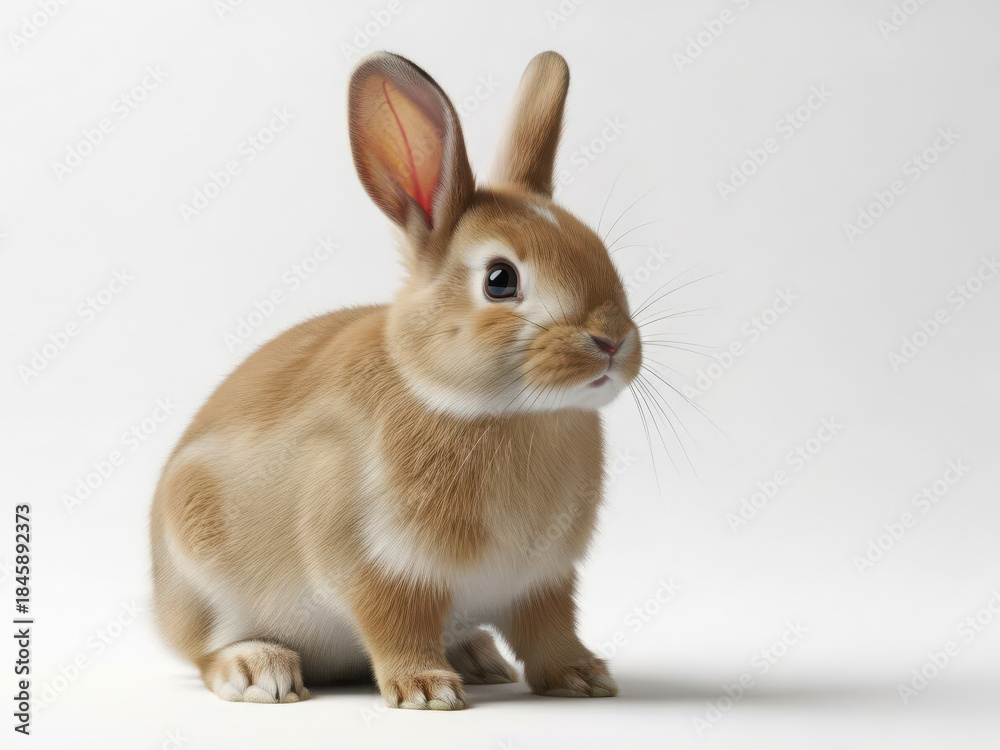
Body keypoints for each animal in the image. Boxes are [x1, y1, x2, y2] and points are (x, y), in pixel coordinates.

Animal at [150, 50, 642, 709]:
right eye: (500, 280)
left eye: (599, 251)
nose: (612, 340)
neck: (496, 410)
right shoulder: (382, 568)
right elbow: (396, 624)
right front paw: (426, 691)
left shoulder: (542, 580)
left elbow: (550, 630)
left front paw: (583, 677)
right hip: (201, 569)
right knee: (206, 649)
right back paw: (258, 670)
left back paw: (479, 657)